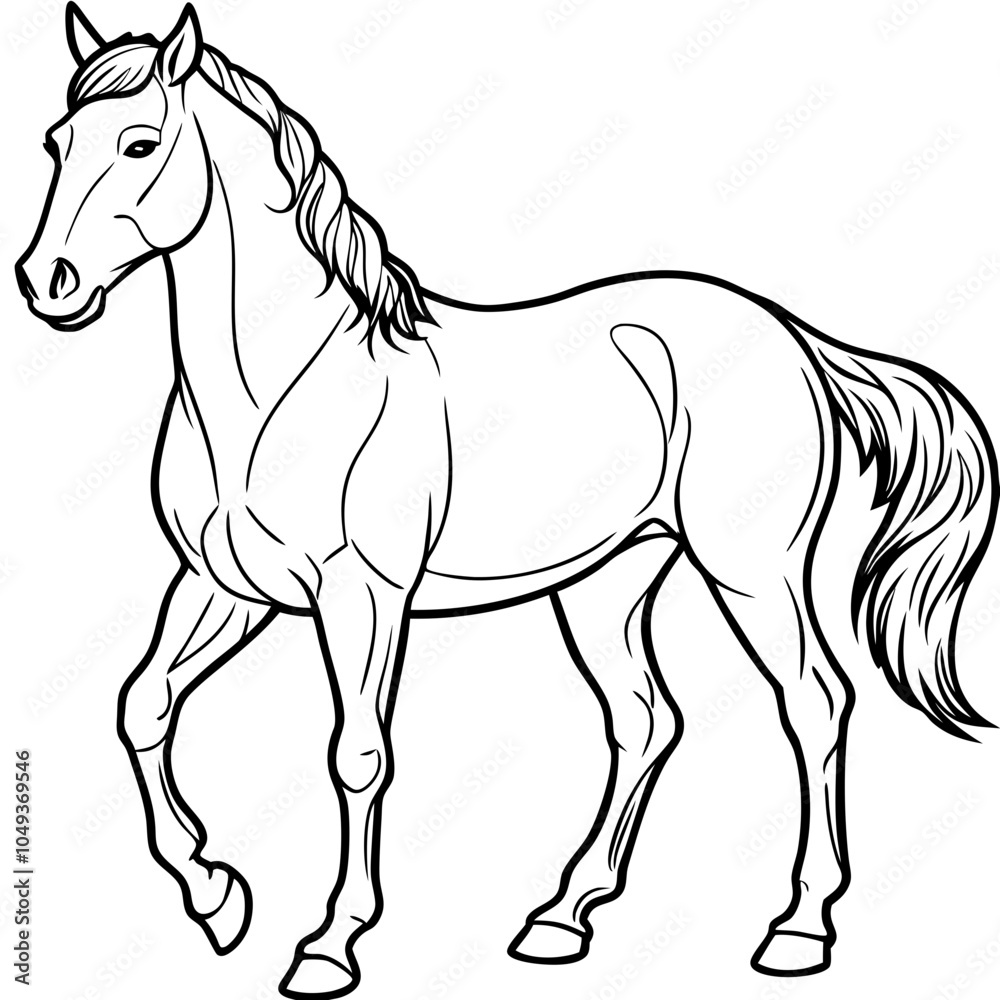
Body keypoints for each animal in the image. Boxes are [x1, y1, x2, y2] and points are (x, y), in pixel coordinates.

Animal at [16, 5, 997, 998]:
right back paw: (561, 919)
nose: (46, 282)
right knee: (646, 721)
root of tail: (794, 336)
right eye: (57, 142)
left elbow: (358, 754)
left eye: (139, 143)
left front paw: (329, 946)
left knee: (813, 703)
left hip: (750, 572)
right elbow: (141, 706)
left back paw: (797, 931)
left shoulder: (362, 596)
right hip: (609, 582)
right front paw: (218, 898)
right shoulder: (224, 587)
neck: (278, 392)